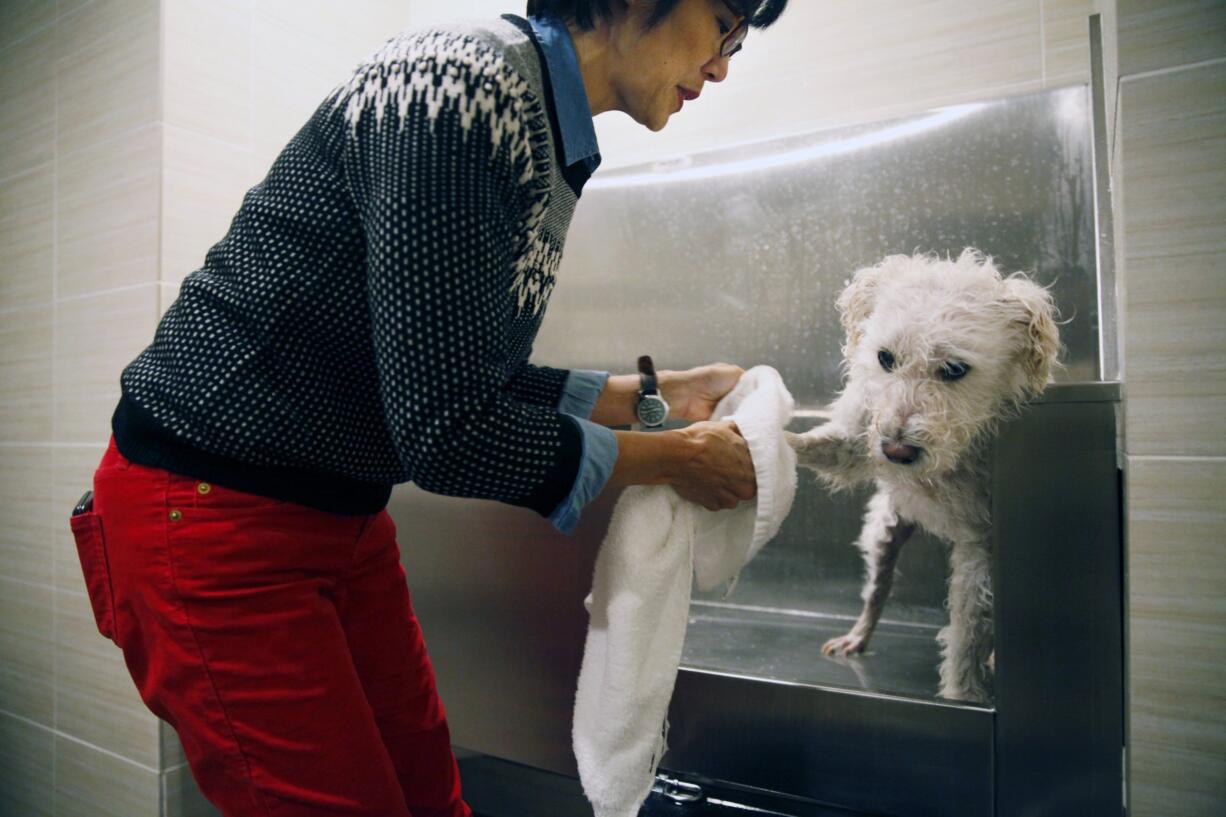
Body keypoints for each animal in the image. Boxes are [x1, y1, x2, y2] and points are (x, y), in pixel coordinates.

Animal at [789, 247, 1059, 701]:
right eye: (886, 358)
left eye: (954, 369)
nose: (895, 450)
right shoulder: (856, 437)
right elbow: (822, 445)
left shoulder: (980, 552)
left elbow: (966, 636)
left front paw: (964, 694)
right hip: (885, 531)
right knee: (877, 588)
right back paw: (857, 636)